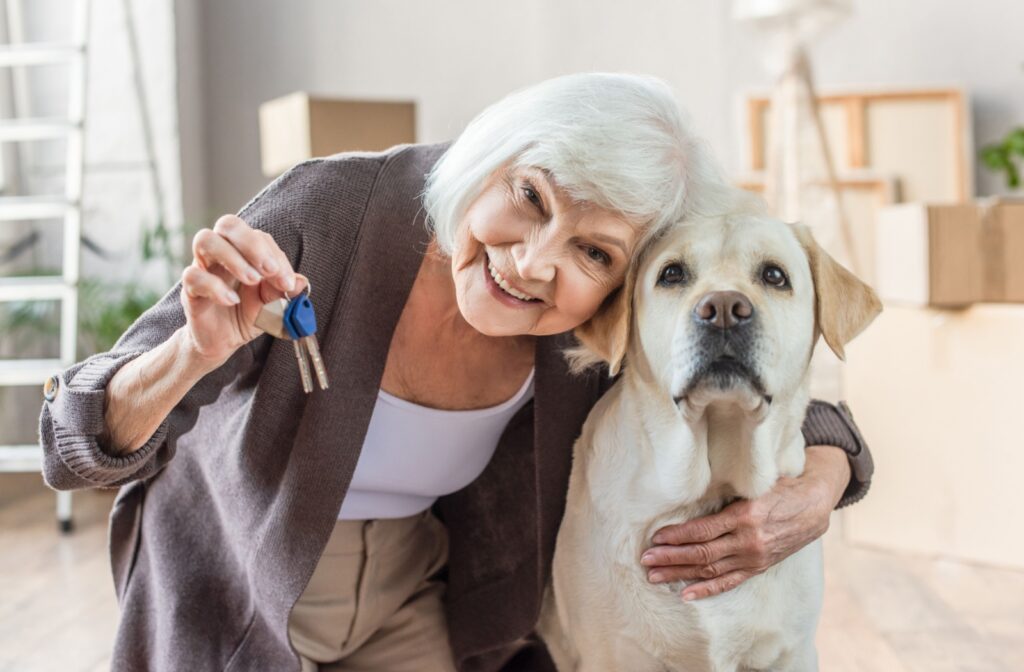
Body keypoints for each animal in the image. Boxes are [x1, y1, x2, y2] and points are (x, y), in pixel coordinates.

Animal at [540, 205, 884, 672]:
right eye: (671, 274)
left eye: (774, 275)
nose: (723, 308)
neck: (704, 490)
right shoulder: (609, 656)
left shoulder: (793, 652)